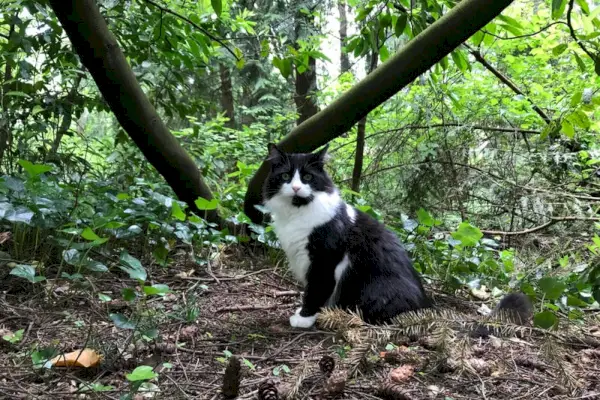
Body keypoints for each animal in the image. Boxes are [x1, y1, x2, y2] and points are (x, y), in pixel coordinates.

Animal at [262, 144, 432, 328]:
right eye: (285, 176)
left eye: (307, 177)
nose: (295, 188)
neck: (296, 212)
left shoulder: (323, 260)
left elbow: (315, 291)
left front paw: (304, 318)